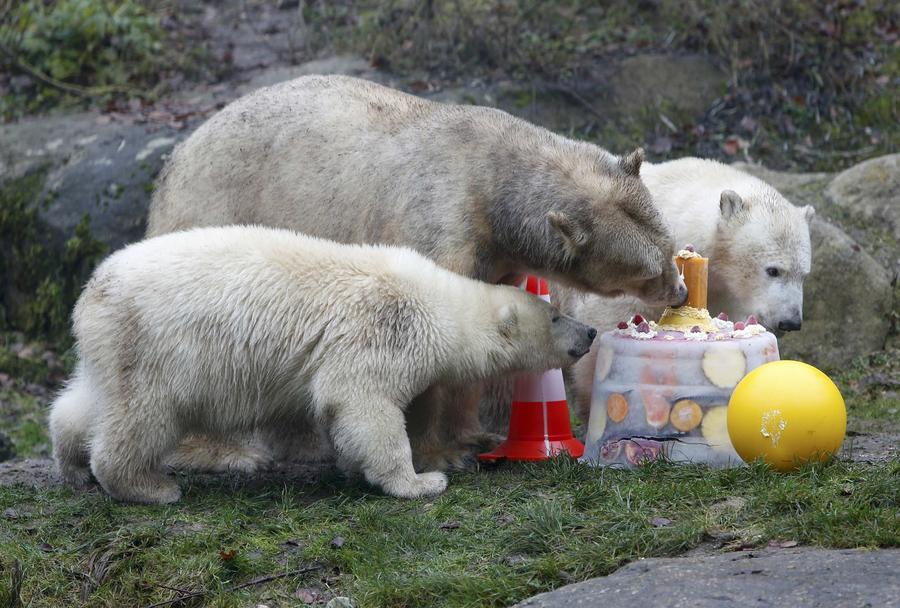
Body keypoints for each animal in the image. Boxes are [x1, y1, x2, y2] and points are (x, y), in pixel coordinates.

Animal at [49, 224, 596, 504]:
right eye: (555, 314)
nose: (590, 333)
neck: (435, 301)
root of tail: (93, 291)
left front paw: (355, 468)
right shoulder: (377, 330)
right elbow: (364, 404)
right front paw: (420, 481)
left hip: (114, 346)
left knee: (89, 400)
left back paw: (74, 464)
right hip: (159, 348)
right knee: (144, 416)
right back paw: (150, 487)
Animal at [148, 72, 684, 470]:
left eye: (668, 243)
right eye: (645, 269)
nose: (679, 291)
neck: (490, 181)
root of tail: (176, 158)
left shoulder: (497, 257)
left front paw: (473, 437)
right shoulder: (438, 226)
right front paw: (439, 454)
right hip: (214, 216)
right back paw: (221, 452)